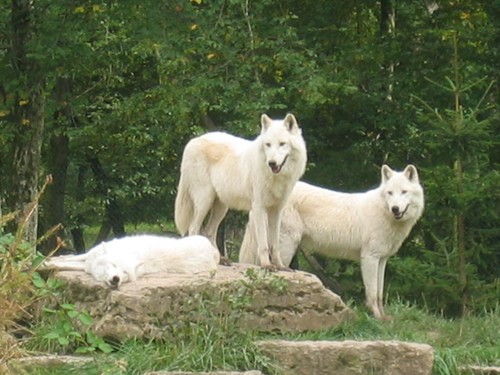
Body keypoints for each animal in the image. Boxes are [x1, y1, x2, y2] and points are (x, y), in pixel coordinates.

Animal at [44, 236, 220, 290]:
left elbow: (61, 264)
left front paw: (43, 264)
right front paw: (46, 259)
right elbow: (65, 259)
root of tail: (213, 249)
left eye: (125, 273)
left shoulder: (86, 266)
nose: (116, 279)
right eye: (114, 266)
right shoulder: (88, 258)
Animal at [176, 114, 308, 270]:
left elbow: (274, 244)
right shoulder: (258, 208)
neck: (276, 177)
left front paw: (280, 266)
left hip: (221, 208)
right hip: (205, 201)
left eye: (282, 144)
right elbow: (264, 244)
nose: (272, 163)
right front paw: (267, 265)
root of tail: (192, 141)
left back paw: (220, 259)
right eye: (268, 144)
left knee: (209, 232)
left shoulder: (277, 210)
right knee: (193, 229)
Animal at [240, 164, 424, 320]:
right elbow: (372, 293)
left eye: (404, 192)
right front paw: (376, 317)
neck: (385, 214)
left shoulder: (382, 260)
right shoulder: (369, 258)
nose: (395, 209)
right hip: (286, 248)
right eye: (390, 193)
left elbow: (379, 293)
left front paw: (384, 317)